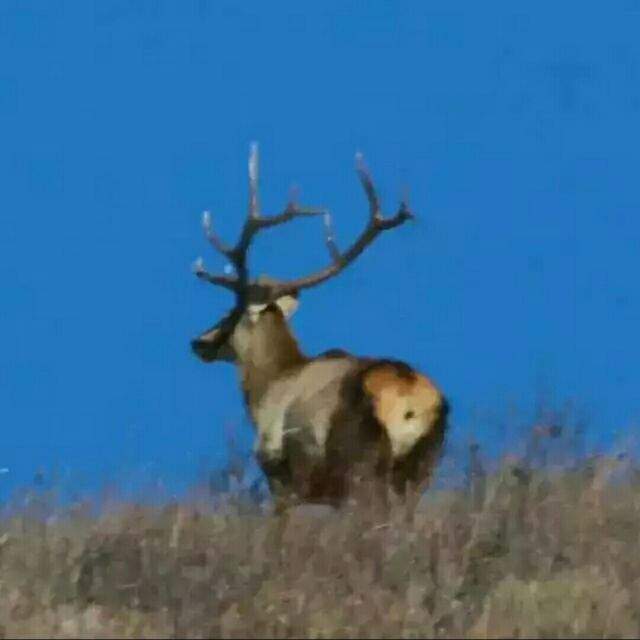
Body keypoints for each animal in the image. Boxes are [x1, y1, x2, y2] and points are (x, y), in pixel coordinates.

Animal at [190, 144, 449, 518]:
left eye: (230, 312)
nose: (197, 342)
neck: (266, 388)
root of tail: (412, 401)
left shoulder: (282, 476)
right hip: (422, 466)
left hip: (361, 463)